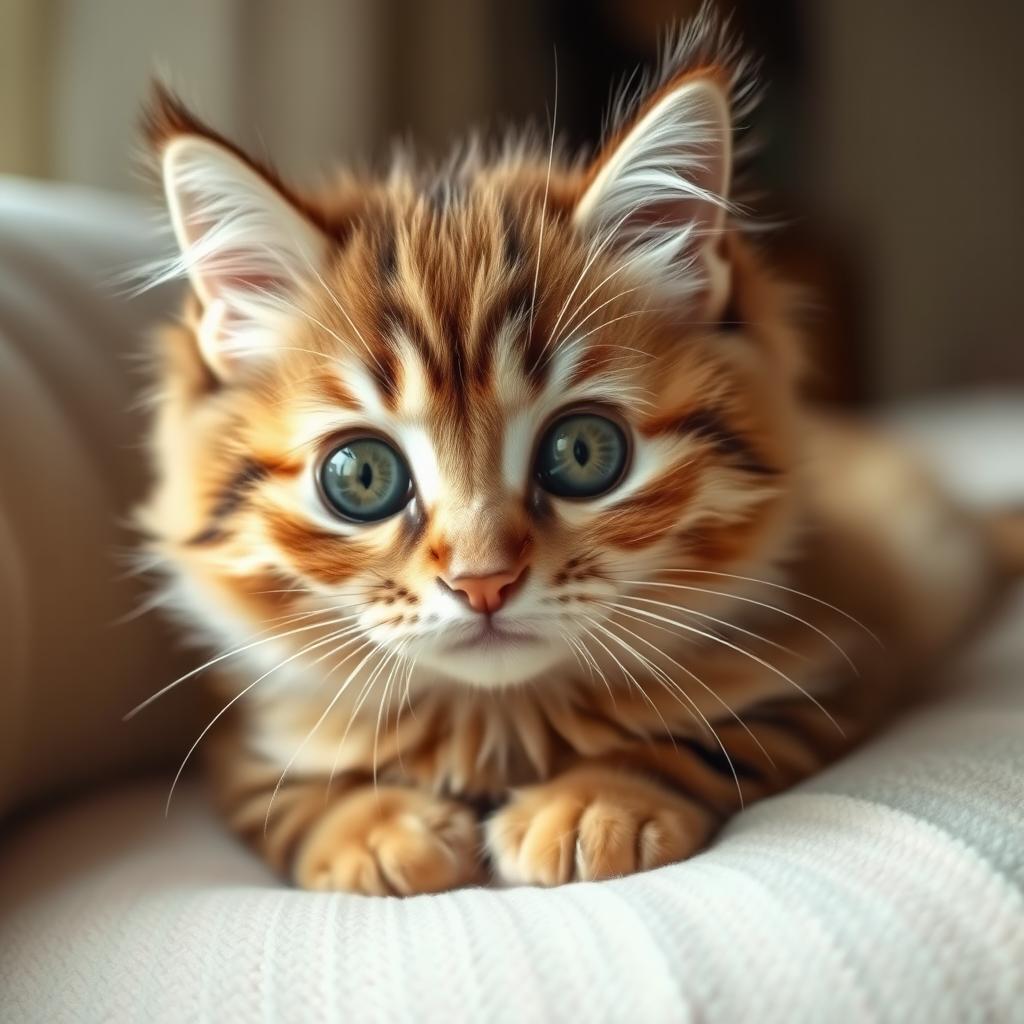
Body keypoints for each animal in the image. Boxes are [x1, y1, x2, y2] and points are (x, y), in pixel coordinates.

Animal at [138, 12, 1024, 892]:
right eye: (361, 476)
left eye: (585, 451)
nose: (483, 582)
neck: (499, 720)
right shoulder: (242, 735)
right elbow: (283, 792)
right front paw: (371, 828)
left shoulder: (834, 670)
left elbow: (705, 740)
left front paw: (598, 802)